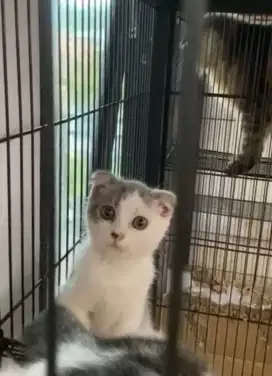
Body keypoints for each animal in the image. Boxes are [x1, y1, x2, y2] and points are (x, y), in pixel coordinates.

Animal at [57, 170, 176, 338]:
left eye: (140, 222)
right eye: (108, 212)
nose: (117, 234)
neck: (114, 268)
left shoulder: (131, 318)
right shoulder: (72, 300)